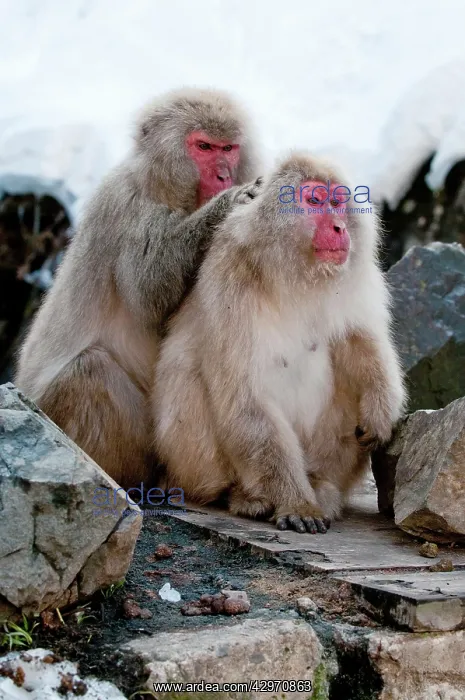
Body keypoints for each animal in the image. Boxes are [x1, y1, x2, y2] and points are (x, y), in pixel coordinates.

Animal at [15, 88, 261, 489]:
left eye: (228, 148)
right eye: (204, 146)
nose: (224, 175)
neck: (165, 190)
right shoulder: (129, 209)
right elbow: (149, 296)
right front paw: (226, 206)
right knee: (88, 373)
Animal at [152, 152, 406, 533]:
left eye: (338, 202)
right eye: (314, 200)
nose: (340, 228)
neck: (293, 275)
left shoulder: (356, 275)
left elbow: (359, 338)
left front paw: (381, 408)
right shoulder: (229, 280)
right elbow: (245, 398)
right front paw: (296, 502)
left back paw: (321, 486)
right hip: (193, 465)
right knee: (188, 379)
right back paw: (244, 496)